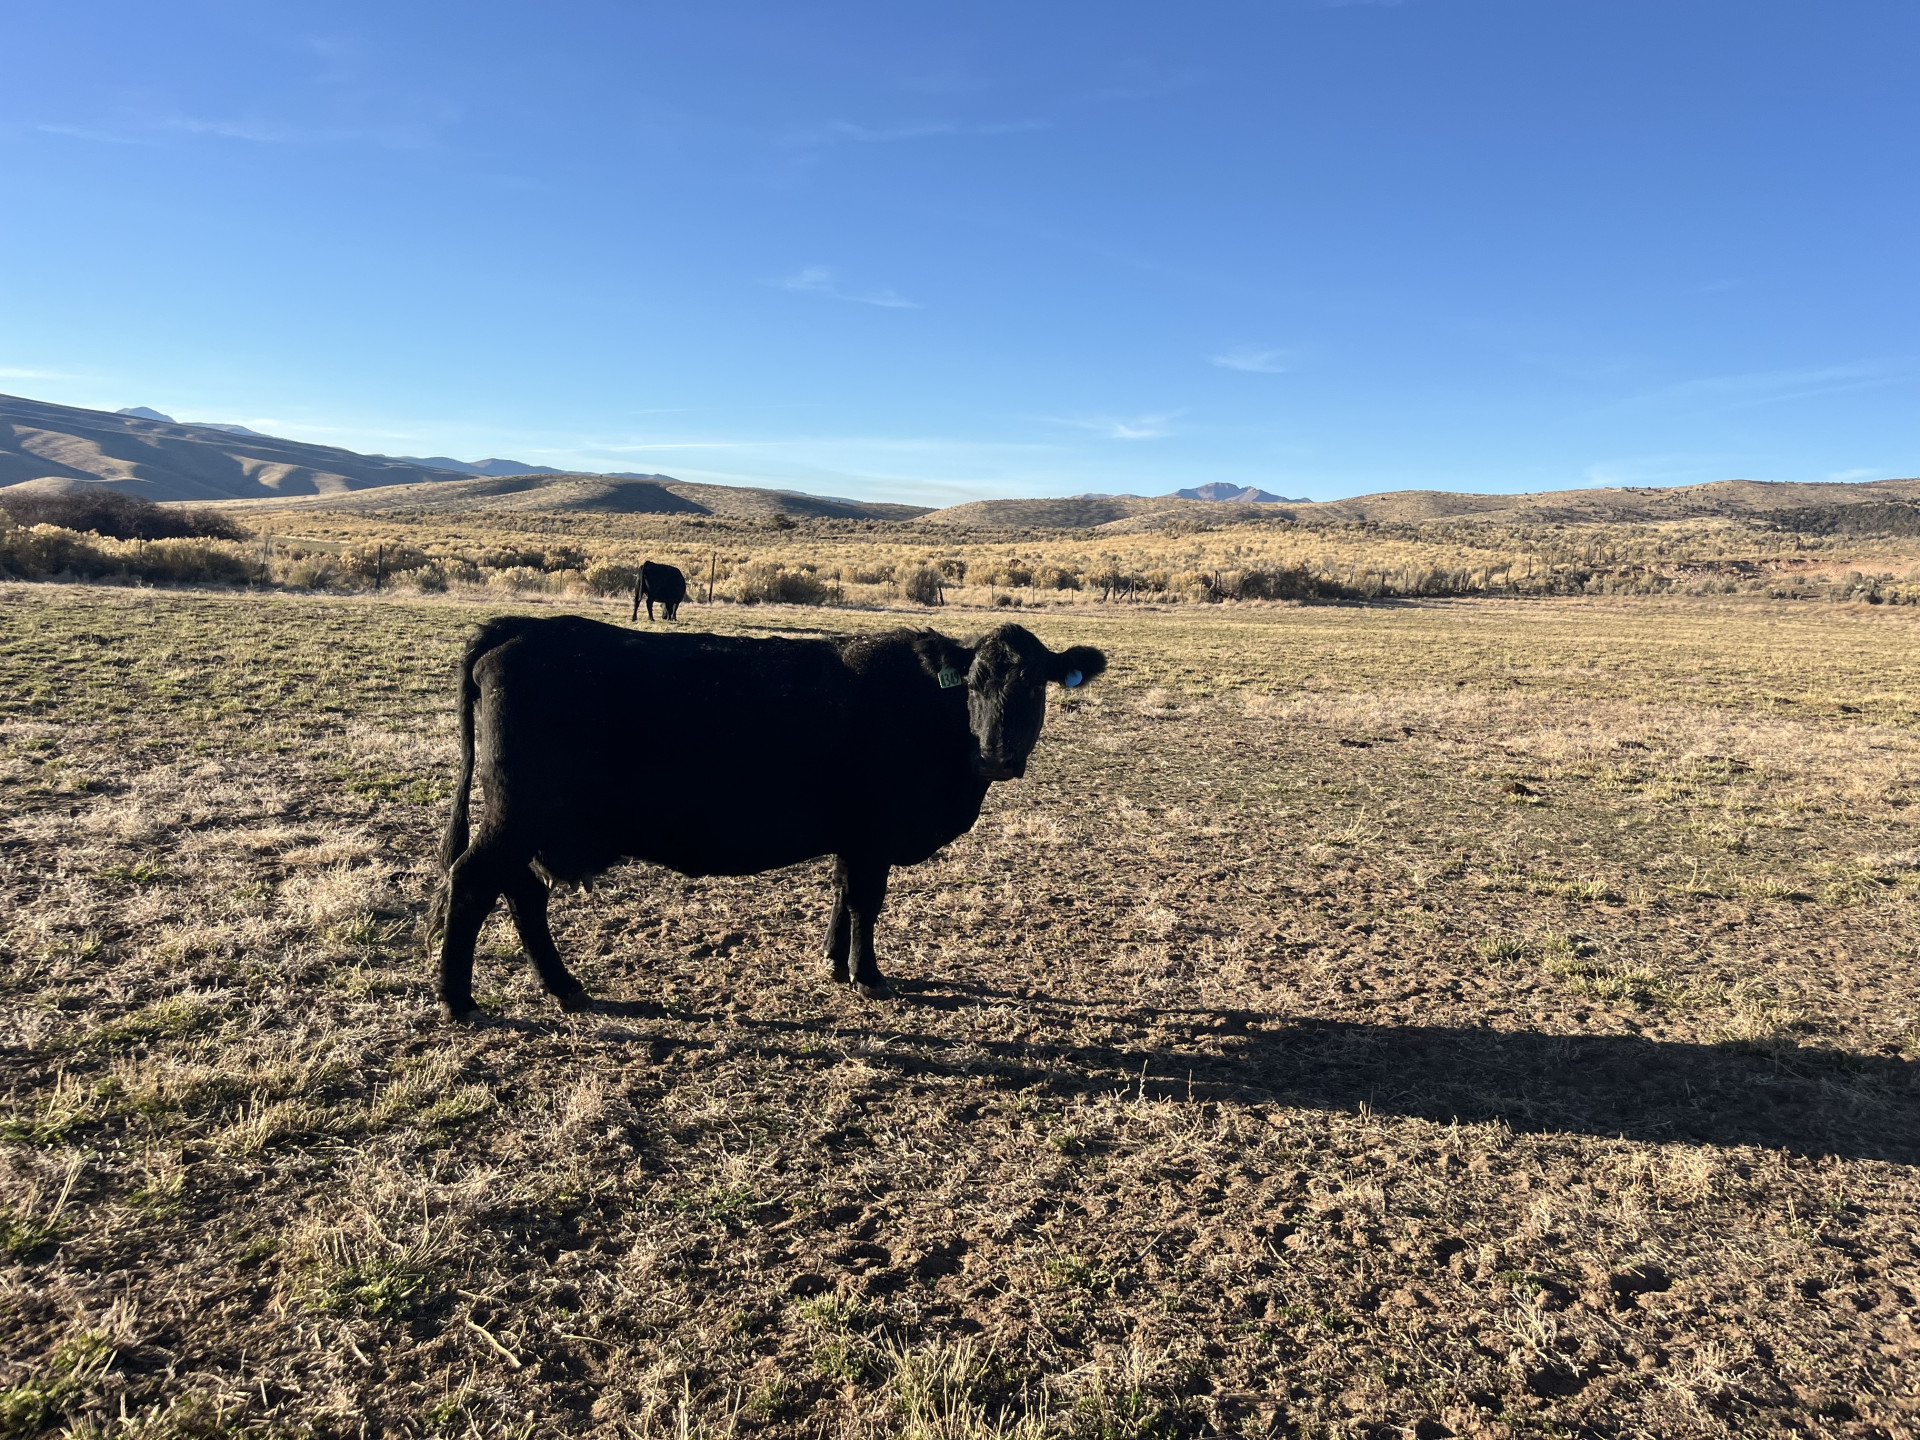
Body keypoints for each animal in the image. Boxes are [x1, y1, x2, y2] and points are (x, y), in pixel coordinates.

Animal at [425, 616, 1106, 1020]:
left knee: (521, 893)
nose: (998, 754)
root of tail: (517, 629)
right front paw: (868, 974)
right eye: (973, 684)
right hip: (515, 817)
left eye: (1036, 685)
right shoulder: (873, 834)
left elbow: (842, 895)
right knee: (474, 883)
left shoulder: (851, 836)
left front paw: (832, 962)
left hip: (529, 825)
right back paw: (458, 1001)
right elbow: (866, 902)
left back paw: (562, 985)